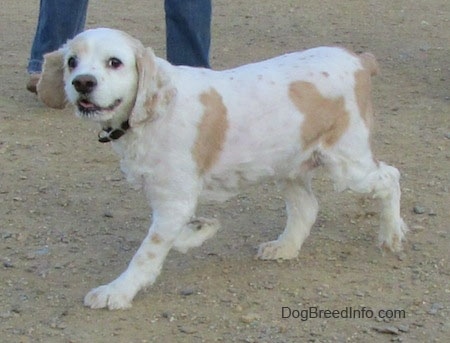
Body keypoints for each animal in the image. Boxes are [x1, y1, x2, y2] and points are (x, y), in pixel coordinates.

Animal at [37, 28, 406, 310]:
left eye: (115, 62)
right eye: (72, 61)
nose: (82, 83)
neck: (149, 116)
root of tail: (359, 60)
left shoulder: (175, 199)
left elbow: (147, 252)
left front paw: (116, 292)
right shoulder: (169, 199)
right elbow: (169, 238)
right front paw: (201, 230)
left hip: (349, 166)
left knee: (391, 177)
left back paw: (392, 234)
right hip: (290, 165)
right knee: (307, 207)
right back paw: (285, 248)